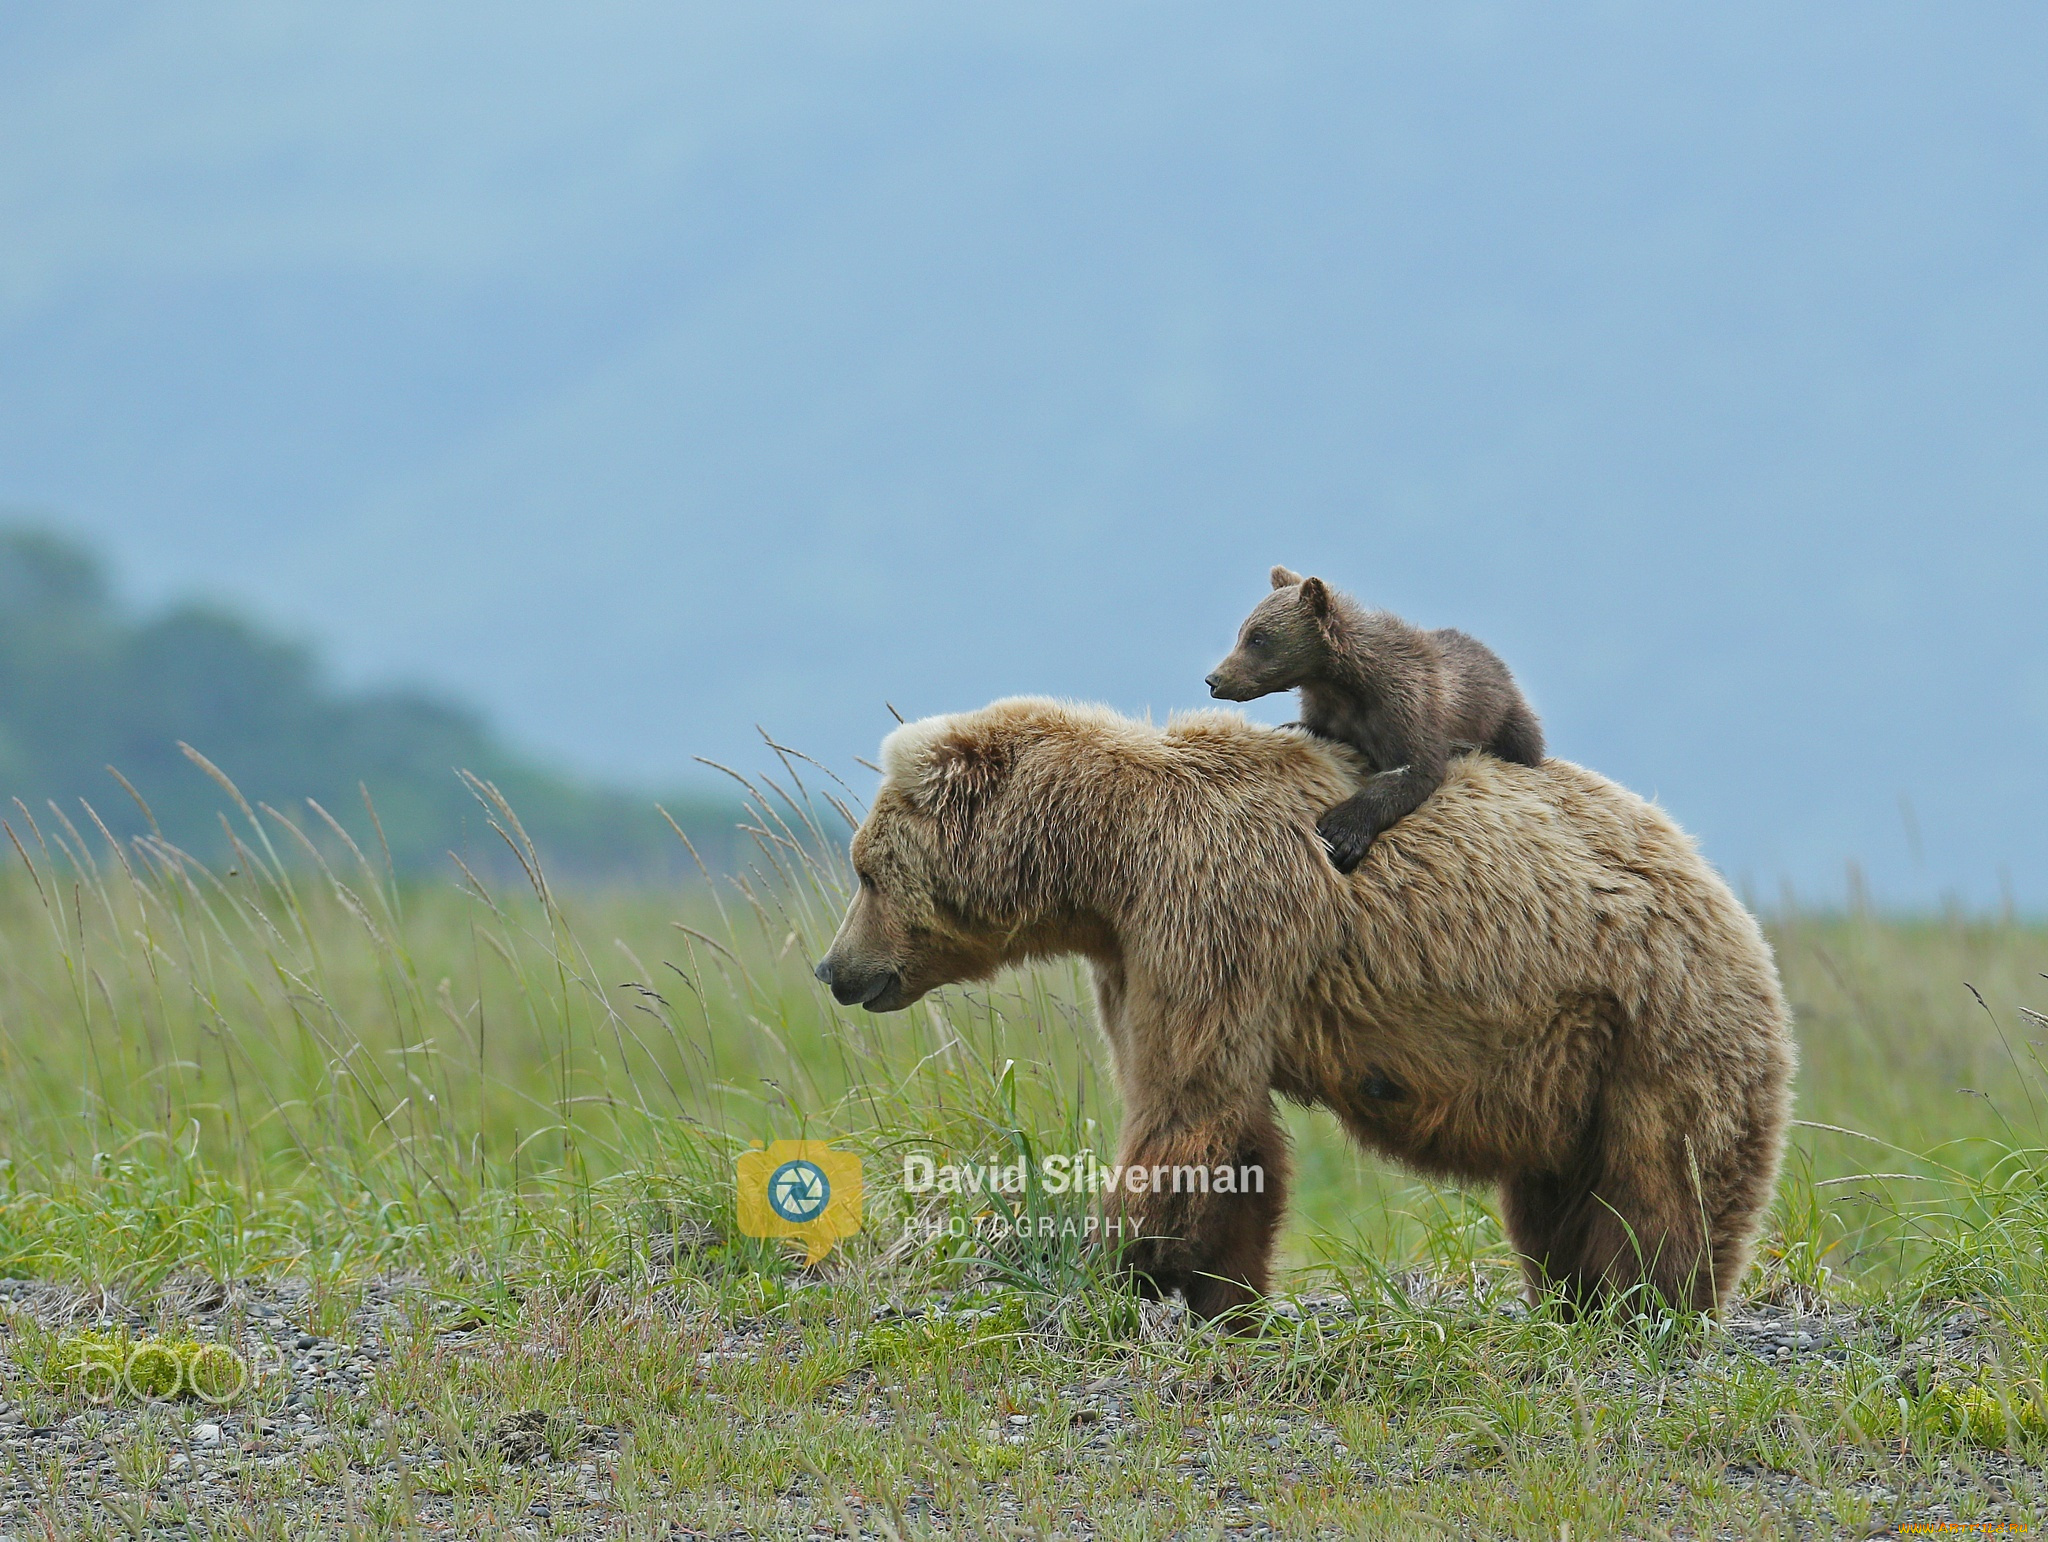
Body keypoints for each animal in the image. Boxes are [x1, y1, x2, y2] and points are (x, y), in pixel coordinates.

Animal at [815, 704, 1794, 1318]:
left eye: (864, 867)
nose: (834, 968)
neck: (1107, 863)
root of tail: (1729, 899)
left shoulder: (1213, 912)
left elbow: (1188, 1107)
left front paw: (1117, 1263)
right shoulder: (1138, 955)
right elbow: (1221, 1123)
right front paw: (1220, 1293)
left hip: (1658, 1024)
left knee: (1665, 1184)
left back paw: (1649, 1305)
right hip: (1570, 1068)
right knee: (1554, 1196)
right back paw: (1572, 1297)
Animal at [1204, 569, 1540, 876]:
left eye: (1258, 638)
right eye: (1243, 632)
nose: (1214, 679)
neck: (1343, 685)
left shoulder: (1408, 705)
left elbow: (1413, 769)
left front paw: (1340, 835)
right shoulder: (1328, 712)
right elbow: (1313, 729)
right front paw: (1285, 728)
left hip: (1507, 718)